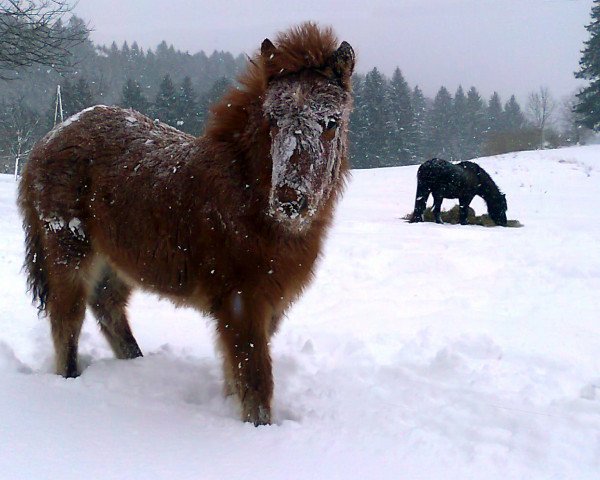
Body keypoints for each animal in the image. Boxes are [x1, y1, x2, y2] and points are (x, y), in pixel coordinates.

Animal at [18, 24, 354, 426]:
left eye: (331, 122)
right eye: (272, 120)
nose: (289, 200)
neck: (245, 196)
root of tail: (47, 141)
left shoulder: (268, 305)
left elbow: (235, 375)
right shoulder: (242, 302)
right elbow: (256, 381)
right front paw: (260, 433)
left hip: (117, 258)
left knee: (107, 305)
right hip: (69, 251)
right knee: (67, 320)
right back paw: (71, 382)